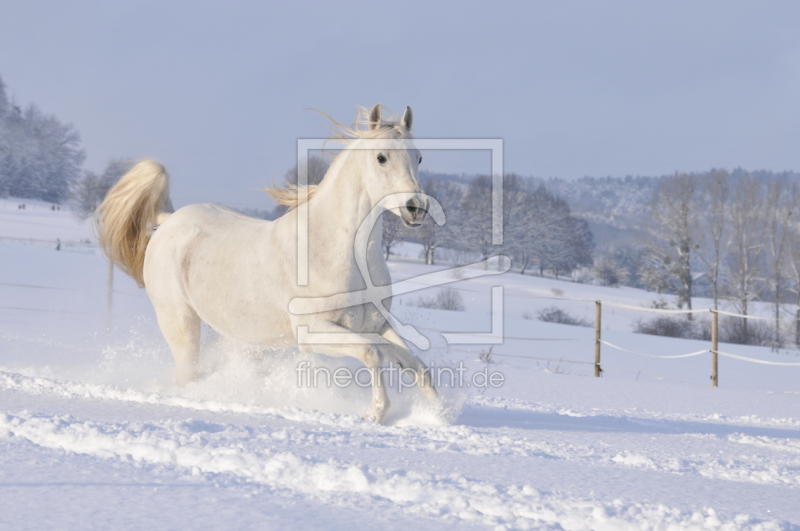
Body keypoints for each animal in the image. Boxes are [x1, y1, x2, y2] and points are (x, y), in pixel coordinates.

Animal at [98, 105, 444, 424]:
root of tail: (168, 219)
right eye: (381, 157)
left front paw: (439, 415)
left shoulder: (375, 325)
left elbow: (414, 364)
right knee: (186, 374)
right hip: (180, 322)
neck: (340, 252)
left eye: (419, 158)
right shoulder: (314, 333)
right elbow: (372, 353)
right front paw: (375, 413)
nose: (416, 208)